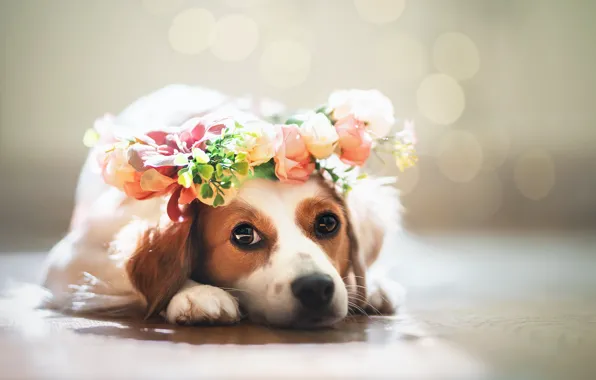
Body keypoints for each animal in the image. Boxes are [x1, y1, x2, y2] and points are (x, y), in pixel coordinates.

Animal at [39, 84, 406, 328]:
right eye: (244, 235)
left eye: (327, 223)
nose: (316, 287)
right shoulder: (71, 260)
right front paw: (196, 293)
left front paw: (369, 285)